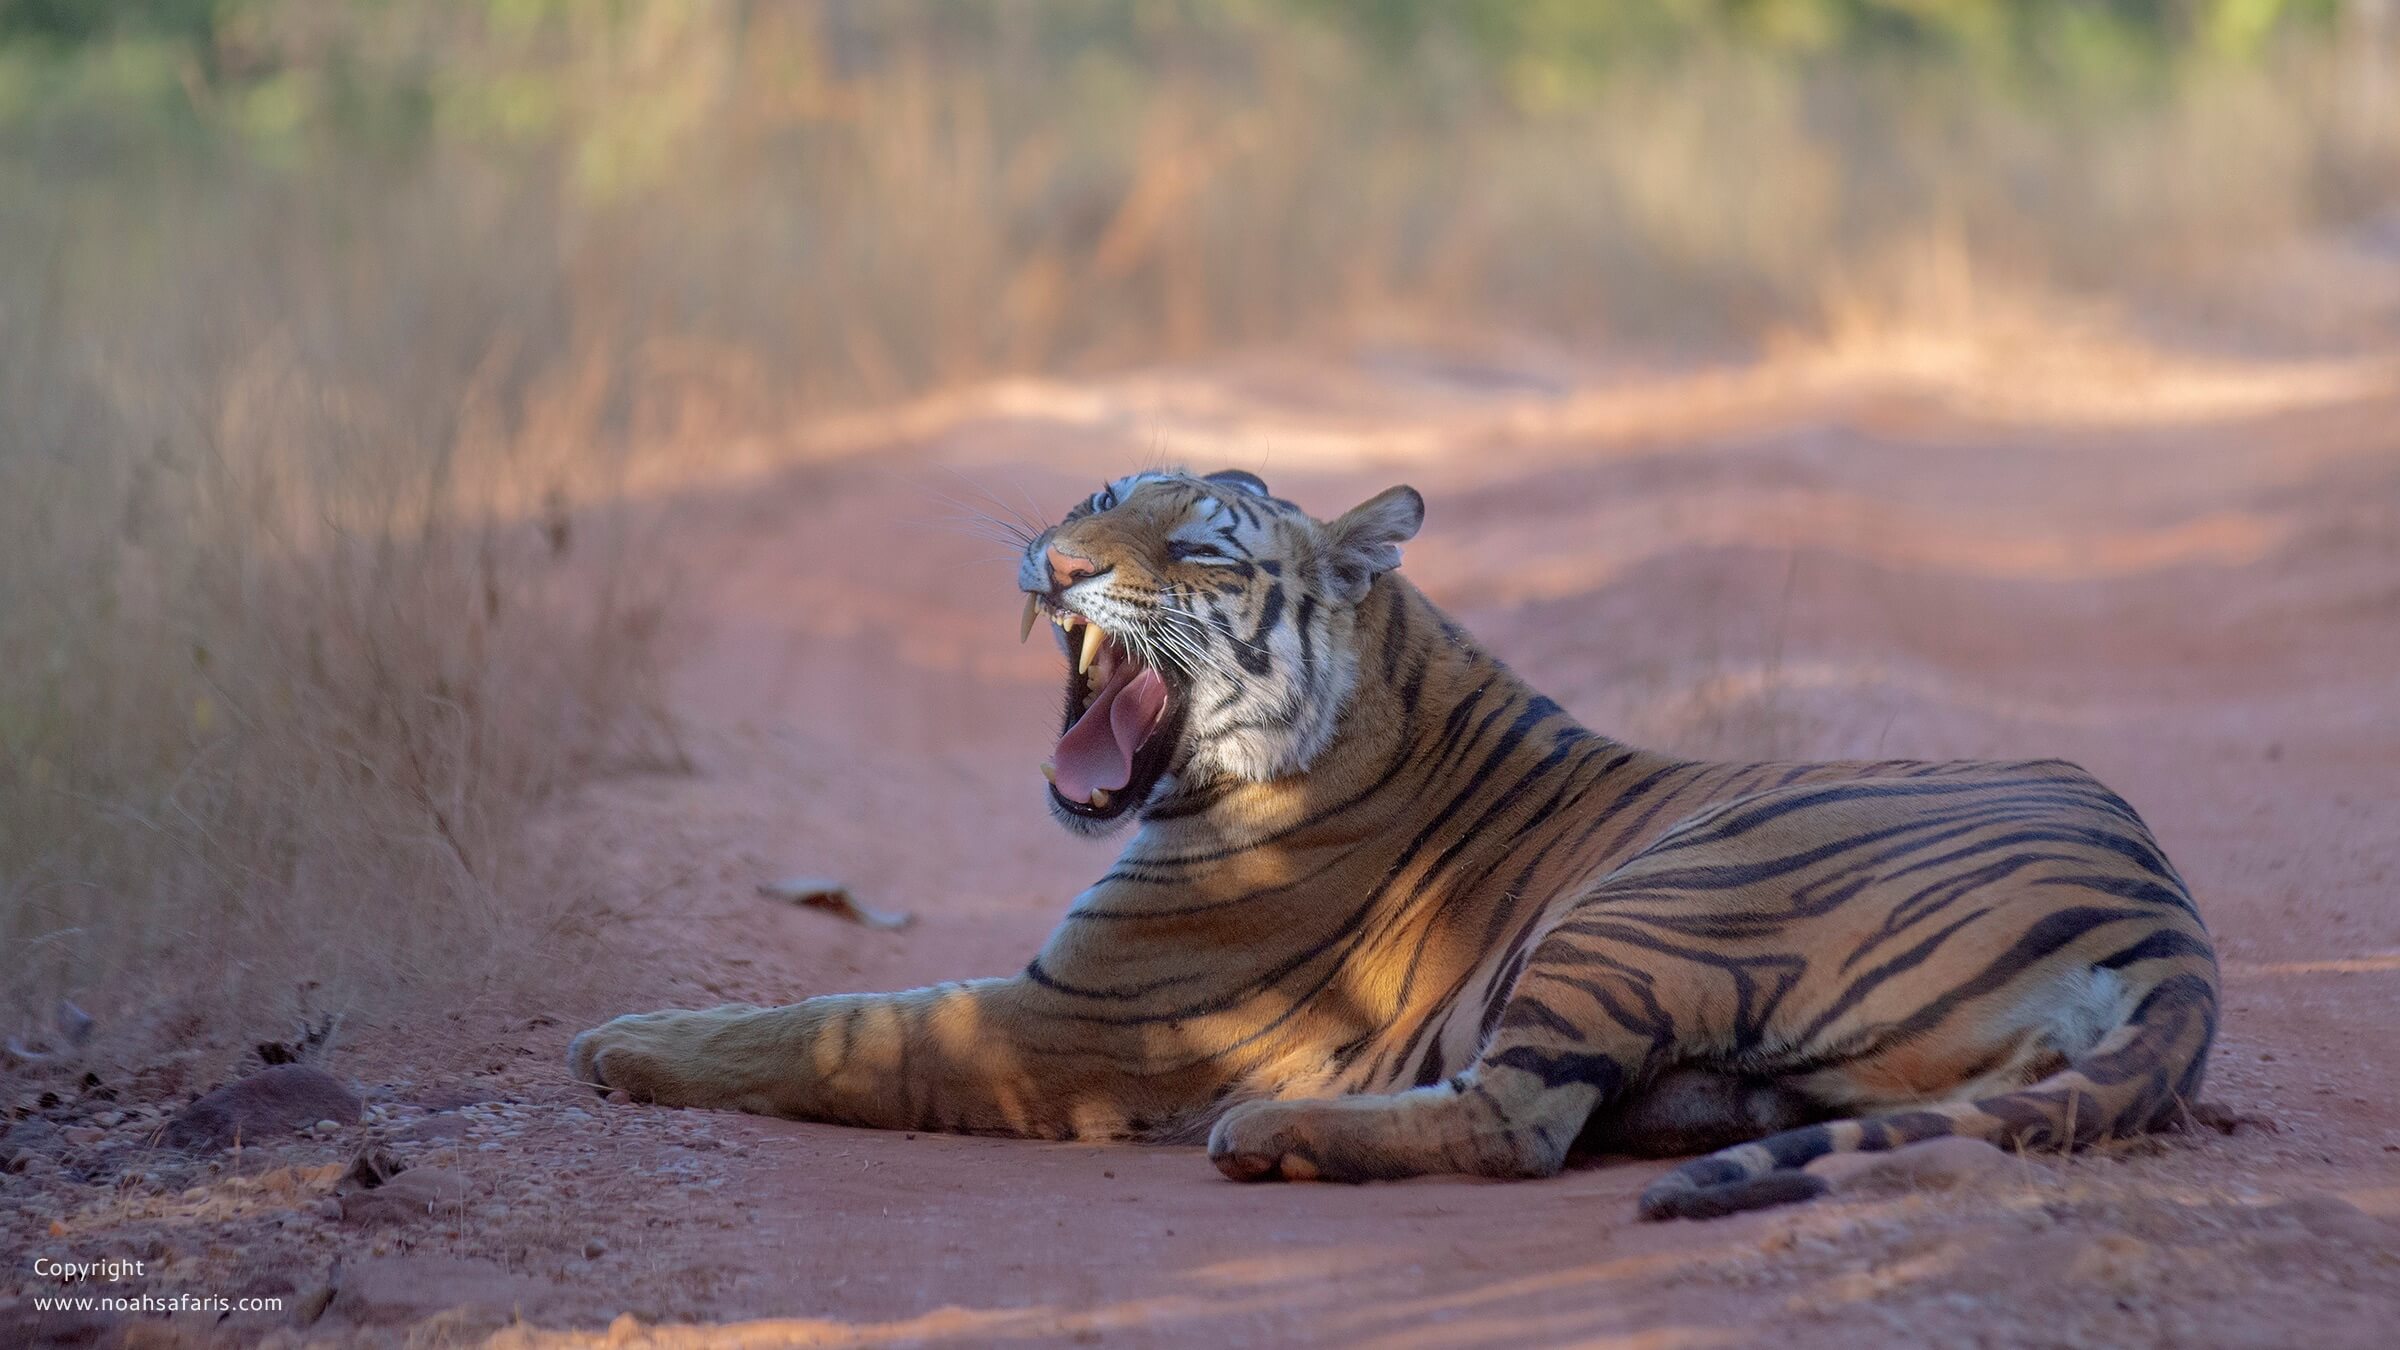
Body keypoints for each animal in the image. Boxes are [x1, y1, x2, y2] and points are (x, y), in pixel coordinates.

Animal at [568, 467, 2219, 1220]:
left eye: (1198, 547)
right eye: (1099, 497)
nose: (1057, 564)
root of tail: (2167, 916)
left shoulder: (1069, 1019)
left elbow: (831, 1023)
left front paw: (622, 1038)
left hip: (1650, 896)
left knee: (1519, 1121)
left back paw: (1275, 1132)